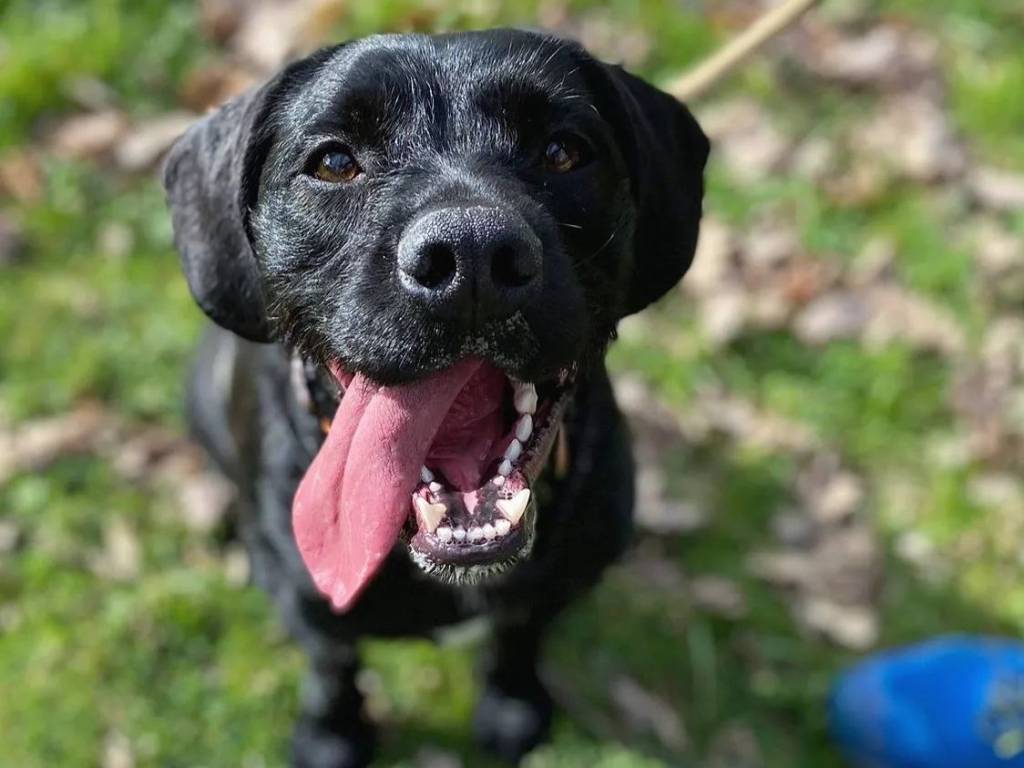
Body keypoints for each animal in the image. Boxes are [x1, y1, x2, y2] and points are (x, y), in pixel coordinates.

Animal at [164, 29, 708, 767]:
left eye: (564, 150)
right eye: (334, 162)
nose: (471, 255)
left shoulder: (556, 585)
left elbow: (519, 634)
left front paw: (513, 705)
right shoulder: (313, 605)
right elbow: (332, 664)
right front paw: (333, 736)